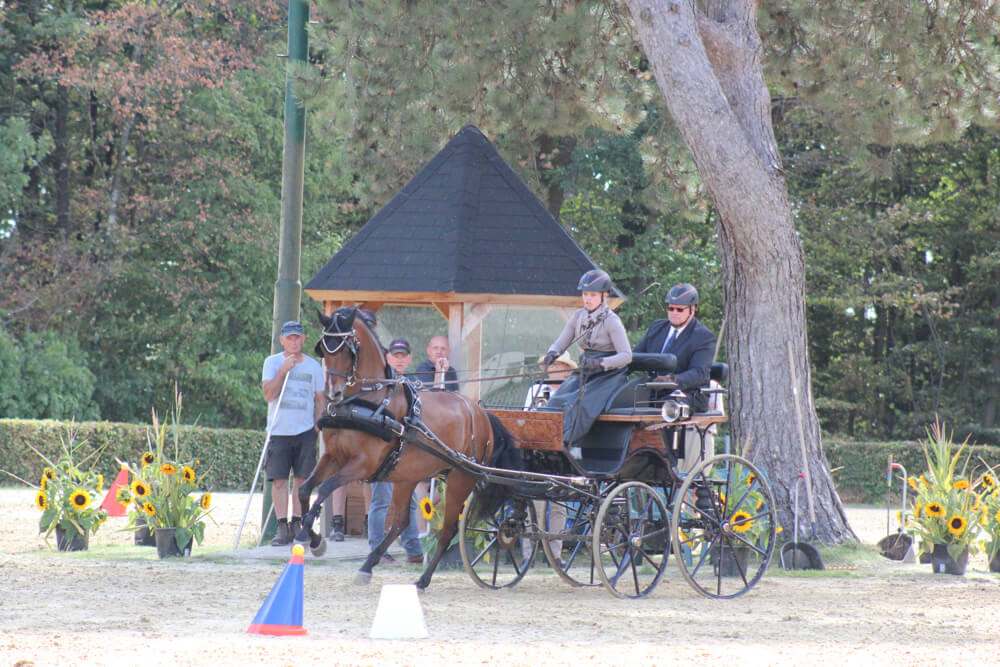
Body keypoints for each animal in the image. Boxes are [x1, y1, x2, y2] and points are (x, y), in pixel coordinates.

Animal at [293, 306, 519, 590]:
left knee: (447, 531)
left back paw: (423, 580)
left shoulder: (362, 464)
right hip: (408, 476)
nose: (333, 393)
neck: (369, 401)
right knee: (400, 522)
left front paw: (306, 534)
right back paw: (367, 566)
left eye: (348, 349)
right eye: (324, 348)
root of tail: (481, 413)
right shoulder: (334, 457)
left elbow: (323, 489)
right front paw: (314, 539)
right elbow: (305, 489)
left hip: (460, 478)